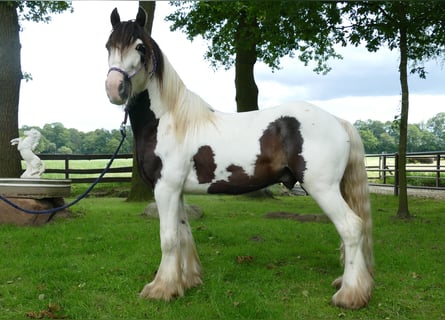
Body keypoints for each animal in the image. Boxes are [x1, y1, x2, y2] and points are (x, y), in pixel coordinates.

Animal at [104, 7, 372, 308]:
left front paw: (161, 288)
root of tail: (339, 121)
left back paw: (349, 295)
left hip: (322, 187)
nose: (114, 88)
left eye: (139, 47)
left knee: (351, 228)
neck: (169, 120)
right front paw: (187, 281)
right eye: (108, 46)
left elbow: (169, 238)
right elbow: (184, 233)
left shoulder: (165, 188)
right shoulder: (177, 191)